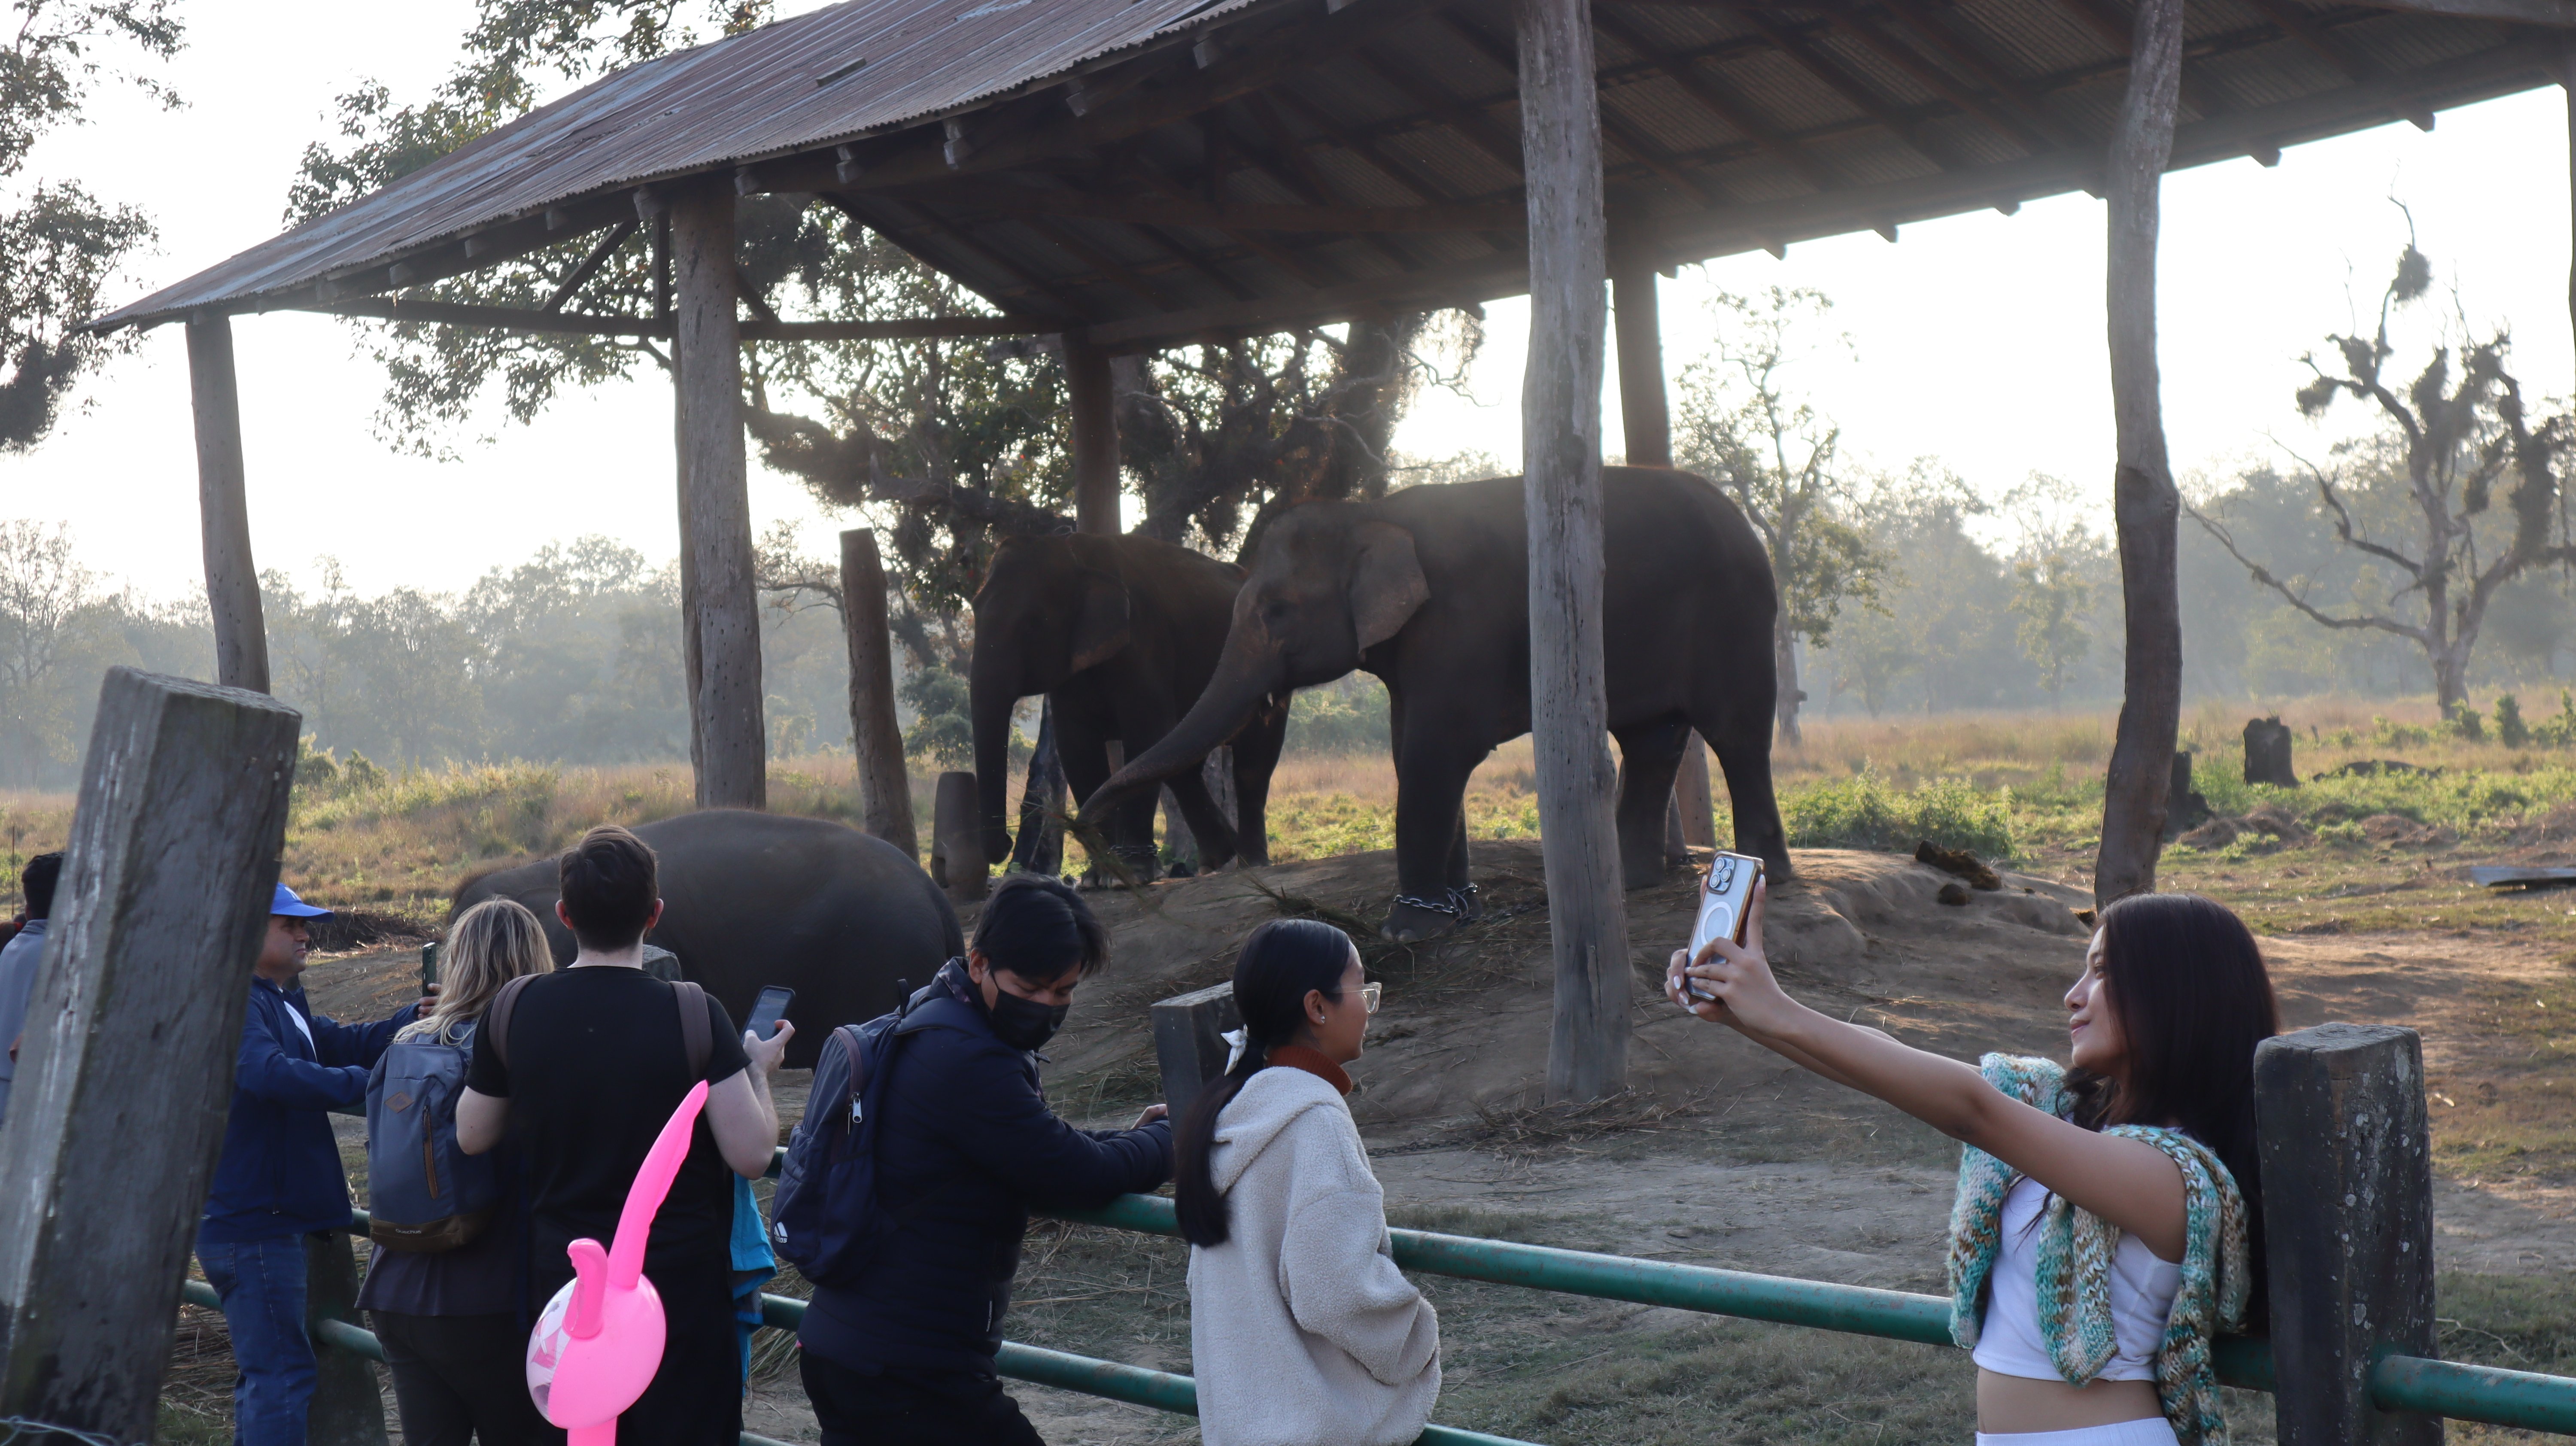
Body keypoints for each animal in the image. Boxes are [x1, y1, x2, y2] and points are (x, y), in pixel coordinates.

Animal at [969, 528, 1288, 876]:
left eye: (1034, 623)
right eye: (974, 609)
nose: (1005, 844)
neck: (1075, 553)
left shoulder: (1144, 641)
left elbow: (1144, 732)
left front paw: (1131, 871)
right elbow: (1077, 748)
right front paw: (1104, 875)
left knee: (1252, 761)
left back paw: (1250, 863)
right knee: (1181, 764)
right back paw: (1218, 859)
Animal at [1077, 469, 1783, 943]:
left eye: (1276, 611)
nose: (1088, 845)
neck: (1371, 514)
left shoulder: (1458, 621)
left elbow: (1435, 751)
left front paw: (1406, 930)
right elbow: (1412, 749)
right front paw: (1458, 910)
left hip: (1737, 613)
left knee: (1739, 735)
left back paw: (1763, 873)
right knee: (1651, 739)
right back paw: (1632, 884)